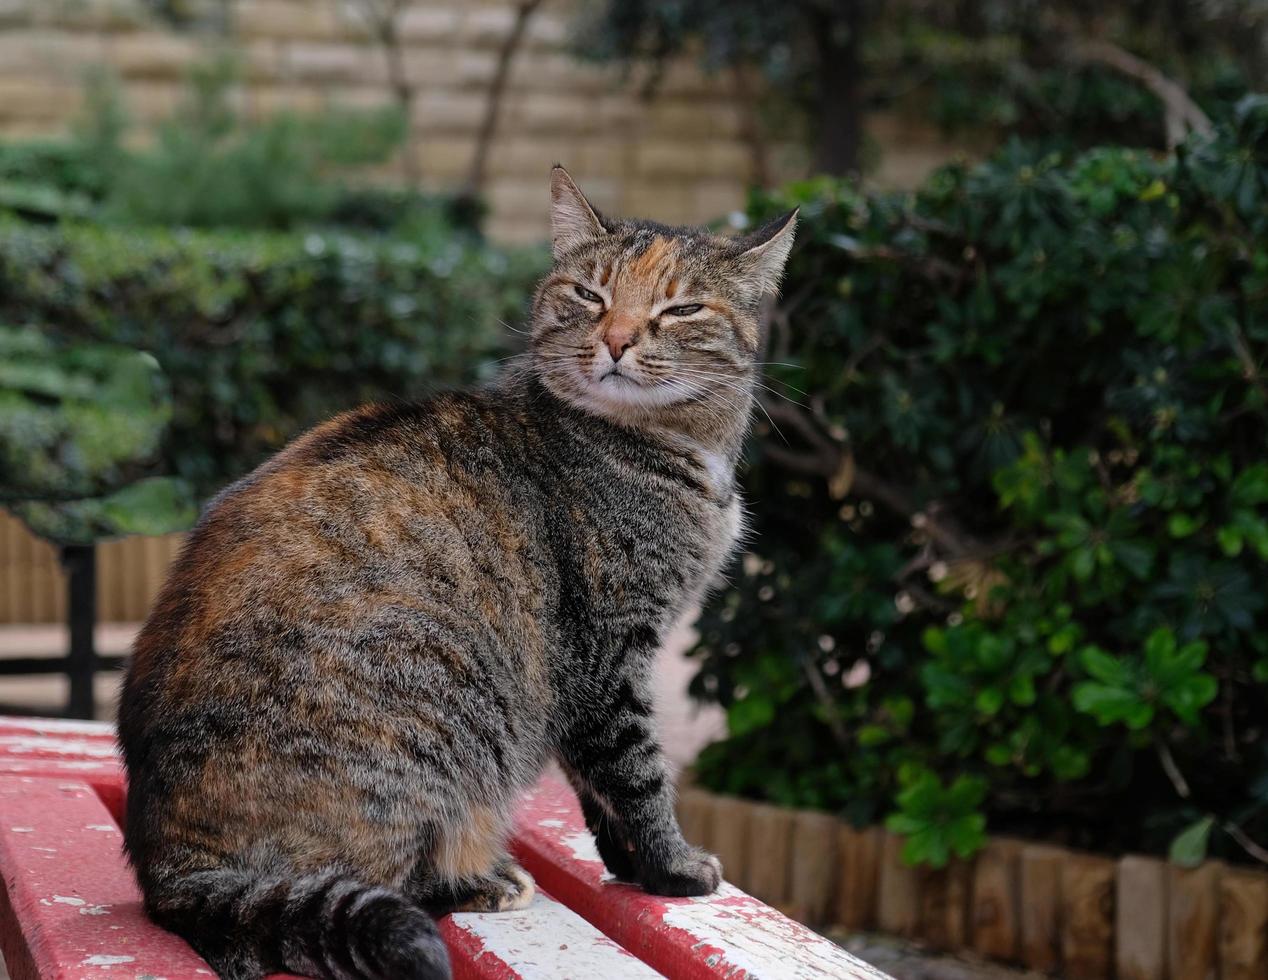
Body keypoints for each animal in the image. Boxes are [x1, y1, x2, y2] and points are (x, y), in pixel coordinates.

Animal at [116, 168, 791, 978]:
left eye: (682, 308)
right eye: (589, 295)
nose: (617, 339)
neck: (678, 454)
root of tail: (167, 869)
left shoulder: (594, 671)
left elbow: (599, 790)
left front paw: (632, 869)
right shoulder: (607, 654)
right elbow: (637, 776)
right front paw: (673, 868)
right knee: (379, 880)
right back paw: (480, 879)